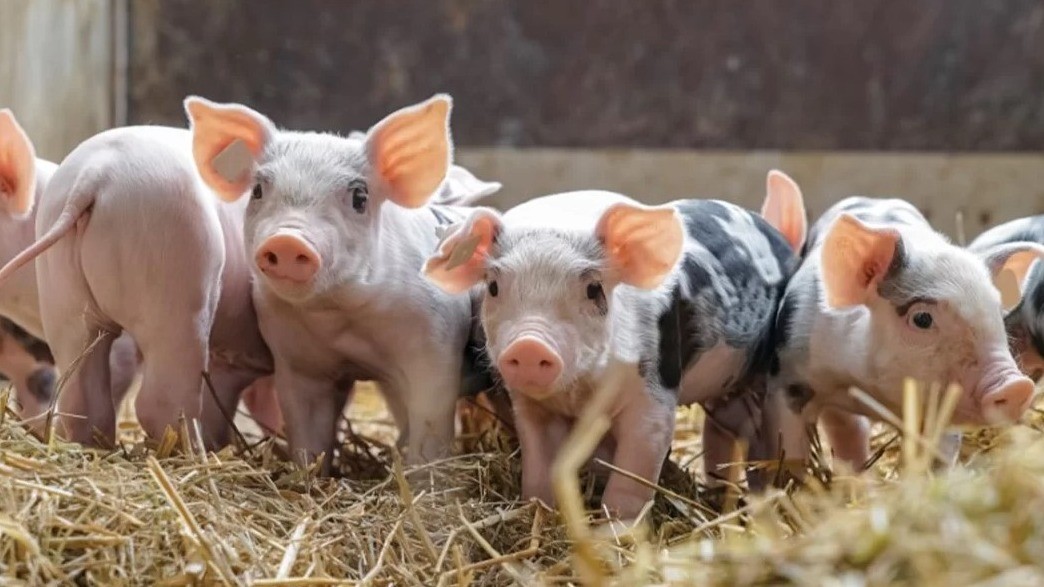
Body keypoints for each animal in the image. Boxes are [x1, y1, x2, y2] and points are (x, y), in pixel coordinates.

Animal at [184, 94, 501, 471]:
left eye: (359, 197)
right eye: (258, 190)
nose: (288, 240)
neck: (342, 316)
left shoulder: (435, 347)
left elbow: (430, 424)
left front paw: (422, 478)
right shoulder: (297, 363)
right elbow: (308, 432)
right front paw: (310, 475)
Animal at [421, 173, 807, 520]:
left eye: (593, 289)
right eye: (493, 286)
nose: (530, 346)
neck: (579, 394)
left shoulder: (654, 393)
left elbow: (635, 468)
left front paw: (615, 531)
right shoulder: (531, 408)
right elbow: (539, 464)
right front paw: (538, 512)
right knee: (723, 432)